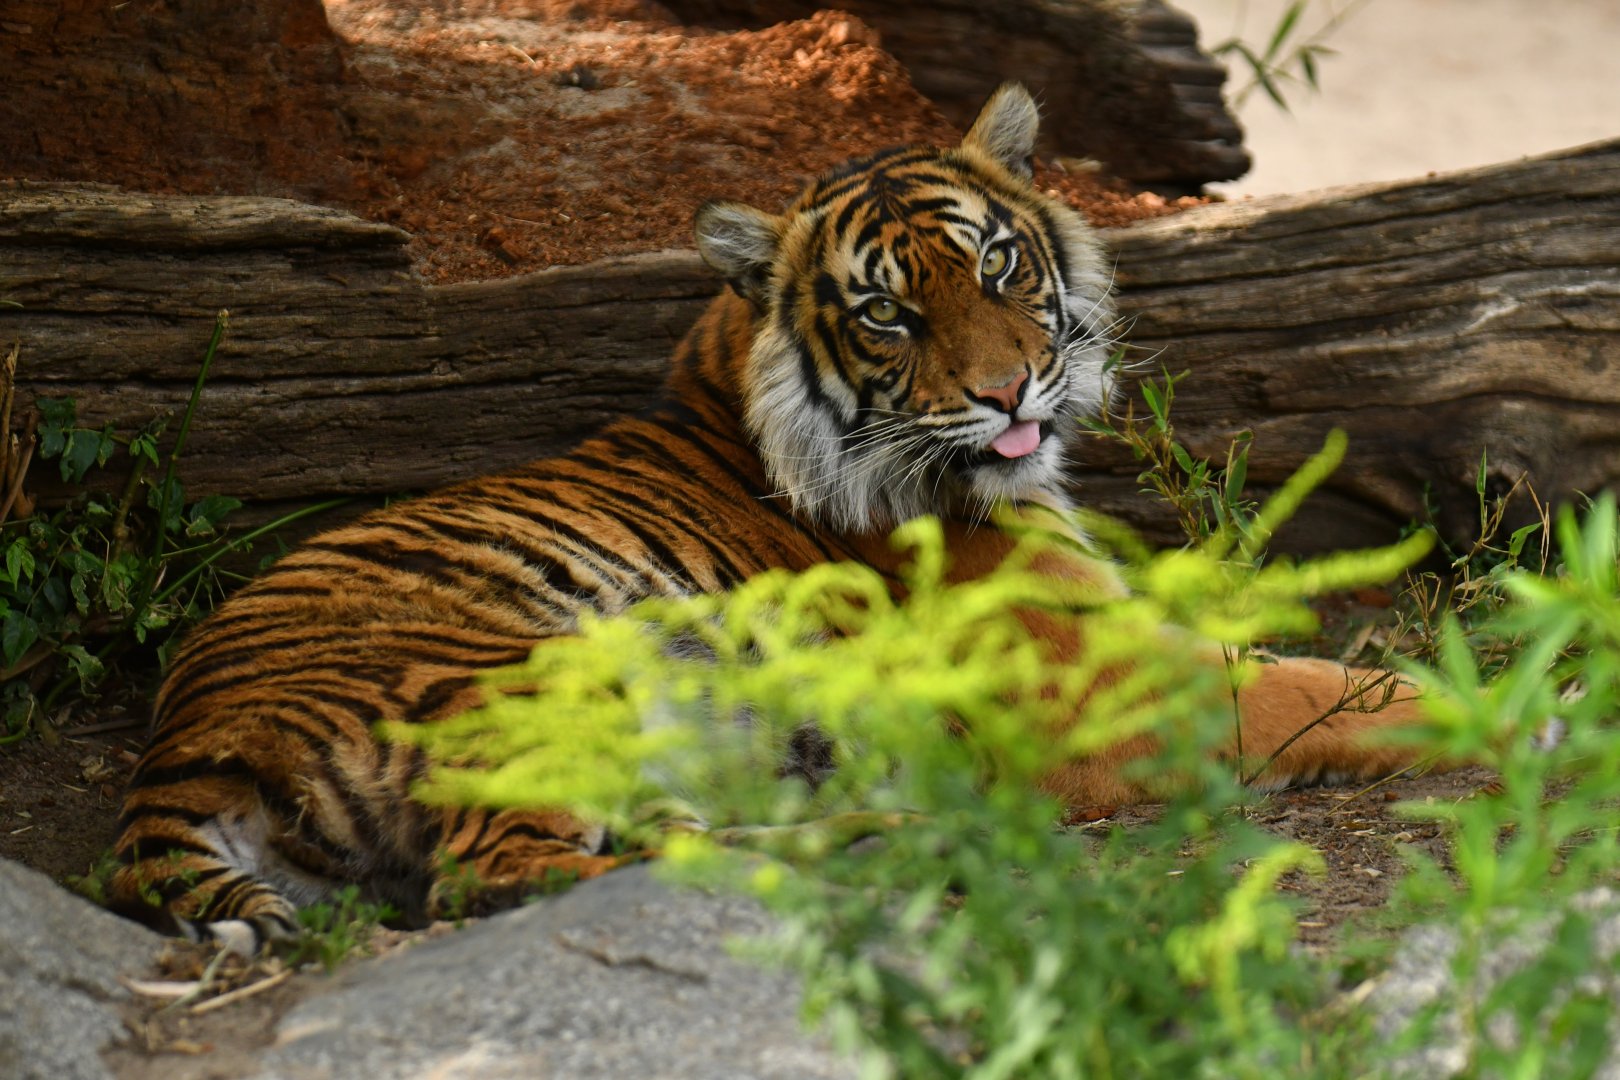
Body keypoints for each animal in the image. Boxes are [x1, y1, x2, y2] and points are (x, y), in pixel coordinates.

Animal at [110, 83, 1424, 952]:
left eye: (998, 264)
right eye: (887, 314)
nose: (1008, 392)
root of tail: (177, 748)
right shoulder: (1106, 686)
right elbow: (1328, 693)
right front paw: (1478, 701)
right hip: (538, 679)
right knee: (504, 875)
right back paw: (876, 835)